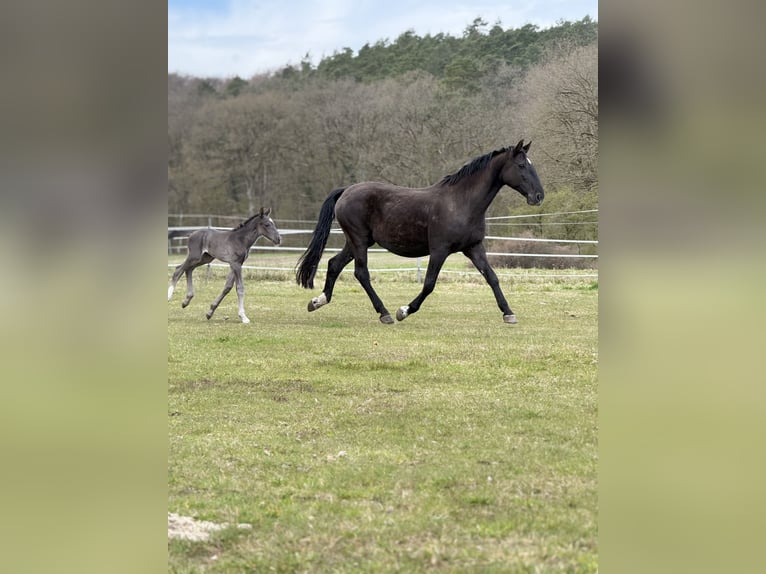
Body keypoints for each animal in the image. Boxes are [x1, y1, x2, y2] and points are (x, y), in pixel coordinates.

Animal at [295, 140, 544, 324]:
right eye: (522, 166)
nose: (539, 196)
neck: (462, 202)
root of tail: (346, 191)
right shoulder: (439, 250)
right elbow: (429, 284)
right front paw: (404, 311)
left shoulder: (474, 248)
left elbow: (492, 277)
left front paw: (508, 313)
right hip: (358, 240)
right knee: (361, 273)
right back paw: (385, 313)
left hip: (357, 241)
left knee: (334, 264)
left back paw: (317, 302)